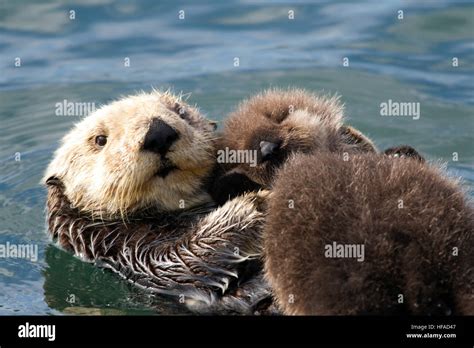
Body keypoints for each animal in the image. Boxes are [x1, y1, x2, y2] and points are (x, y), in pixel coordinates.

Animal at [43, 90, 274, 316]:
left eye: (180, 112)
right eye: (100, 139)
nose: (158, 133)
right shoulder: (127, 253)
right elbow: (182, 262)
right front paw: (257, 204)